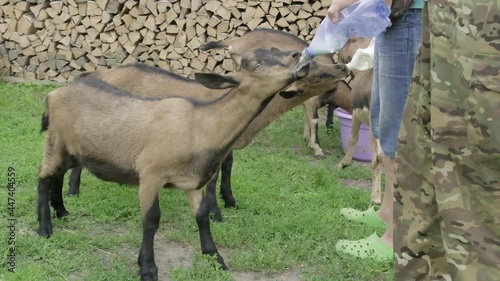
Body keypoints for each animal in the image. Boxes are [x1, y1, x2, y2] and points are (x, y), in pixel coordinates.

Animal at [37, 47, 308, 278]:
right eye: (257, 64)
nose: (297, 56)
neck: (200, 125)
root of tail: (53, 94)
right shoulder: (150, 174)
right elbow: (151, 220)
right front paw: (147, 268)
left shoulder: (193, 182)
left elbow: (202, 216)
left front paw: (215, 259)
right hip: (56, 140)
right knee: (43, 177)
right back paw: (44, 228)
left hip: (72, 150)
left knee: (57, 175)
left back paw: (61, 211)